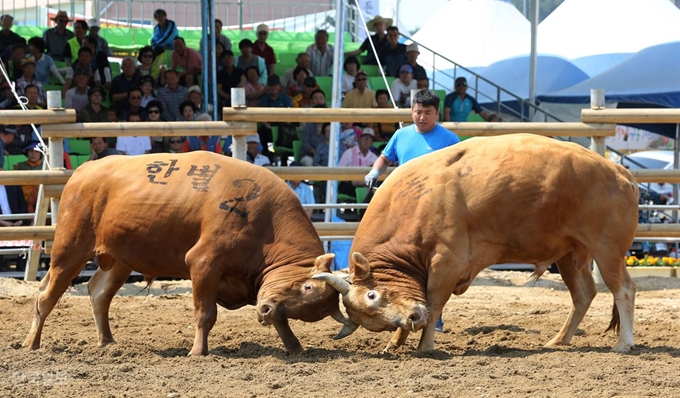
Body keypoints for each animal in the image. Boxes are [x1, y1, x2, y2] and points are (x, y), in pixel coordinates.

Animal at [24, 152, 348, 354]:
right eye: (308, 286)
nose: (265, 311)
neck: (264, 219)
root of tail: (85, 171)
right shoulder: (204, 263)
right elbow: (205, 313)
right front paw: (198, 351)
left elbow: (281, 319)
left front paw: (294, 346)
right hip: (70, 249)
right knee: (46, 297)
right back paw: (32, 343)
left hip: (119, 259)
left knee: (99, 294)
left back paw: (107, 341)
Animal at [316, 135, 640, 352]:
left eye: (373, 295)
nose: (412, 318)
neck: (414, 201)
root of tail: (619, 172)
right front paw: (396, 341)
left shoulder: (447, 262)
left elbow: (434, 302)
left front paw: (424, 346)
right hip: (570, 253)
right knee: (583, 294)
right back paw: (559, 339)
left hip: (607, 248)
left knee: (623, 289)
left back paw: (624, 342)